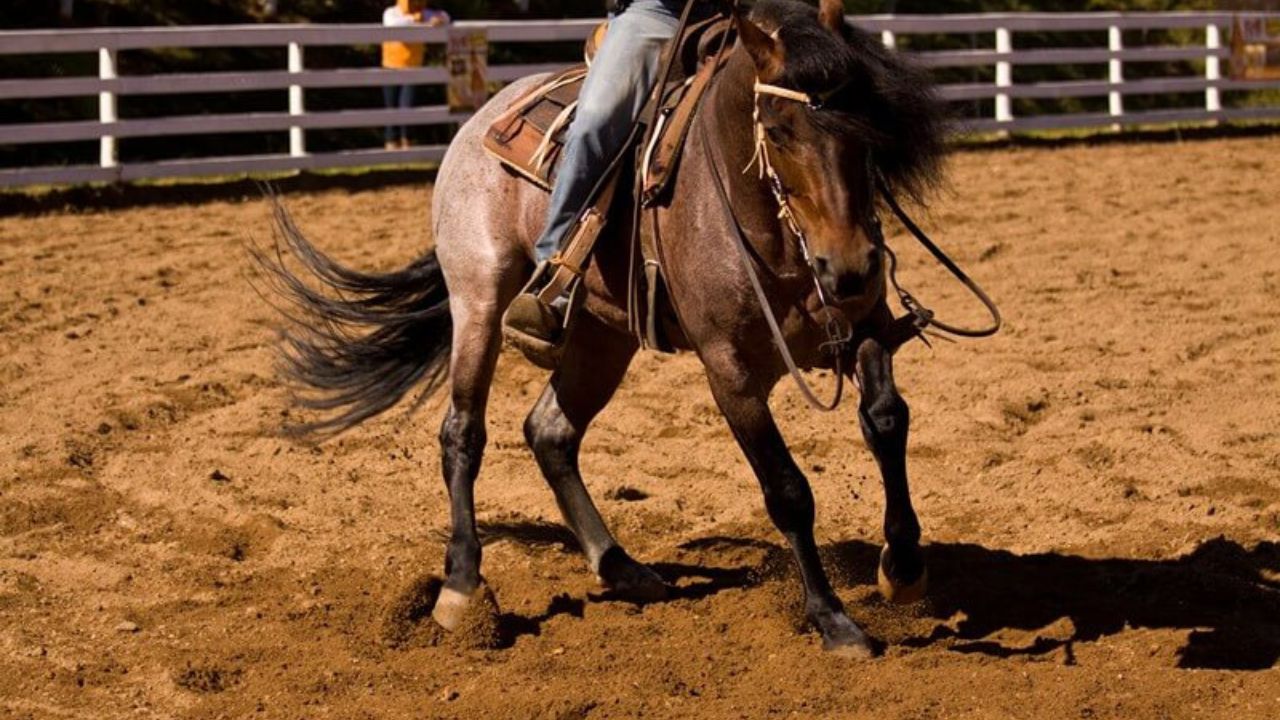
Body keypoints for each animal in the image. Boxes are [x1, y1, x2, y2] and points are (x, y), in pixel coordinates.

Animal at [252, 0, 952, 653]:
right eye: (778, 130)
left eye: (869, 126)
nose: (851, 265)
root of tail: (482, 118)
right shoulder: (727, 365)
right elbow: (786, 488)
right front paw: (833, 619)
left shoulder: (863, 328)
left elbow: (887, 420)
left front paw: (904, 568)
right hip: (478, 298)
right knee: (463, 433)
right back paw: (462, 587)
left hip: (602, 335)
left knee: (550, 432)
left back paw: (619, 565)